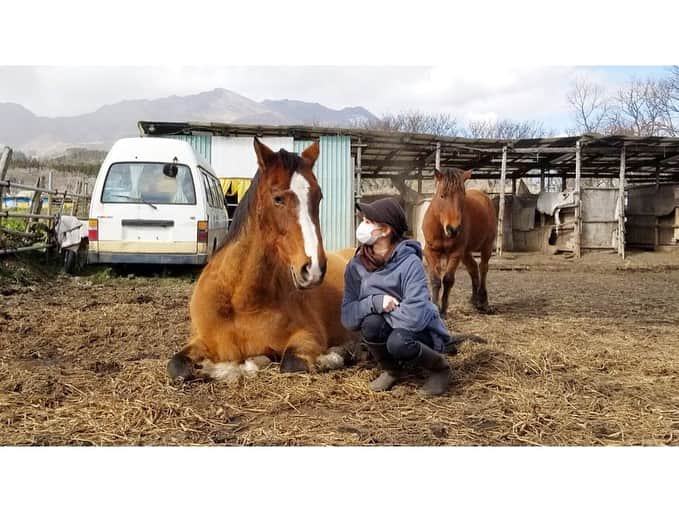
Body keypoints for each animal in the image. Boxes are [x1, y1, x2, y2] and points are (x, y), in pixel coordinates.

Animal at [168, 139, 358, 380]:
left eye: (318, 197)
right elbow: (177, 365)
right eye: (278, 198)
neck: (240, 300)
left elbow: (291, 362)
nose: (313, 268)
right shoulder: (201, 341)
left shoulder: (309, 335)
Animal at [422, 170, 496, 318]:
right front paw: (435, 306)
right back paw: (474, 300)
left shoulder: (455, 253)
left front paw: (443, 309)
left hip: (486, 247)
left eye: (462, 196)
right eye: (442, 195)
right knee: (473, 268)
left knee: (483, 268)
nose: (453, 229)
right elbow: (435, 279)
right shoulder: (430, 251)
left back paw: (483, 303)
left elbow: (448, 279)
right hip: (466, 253)